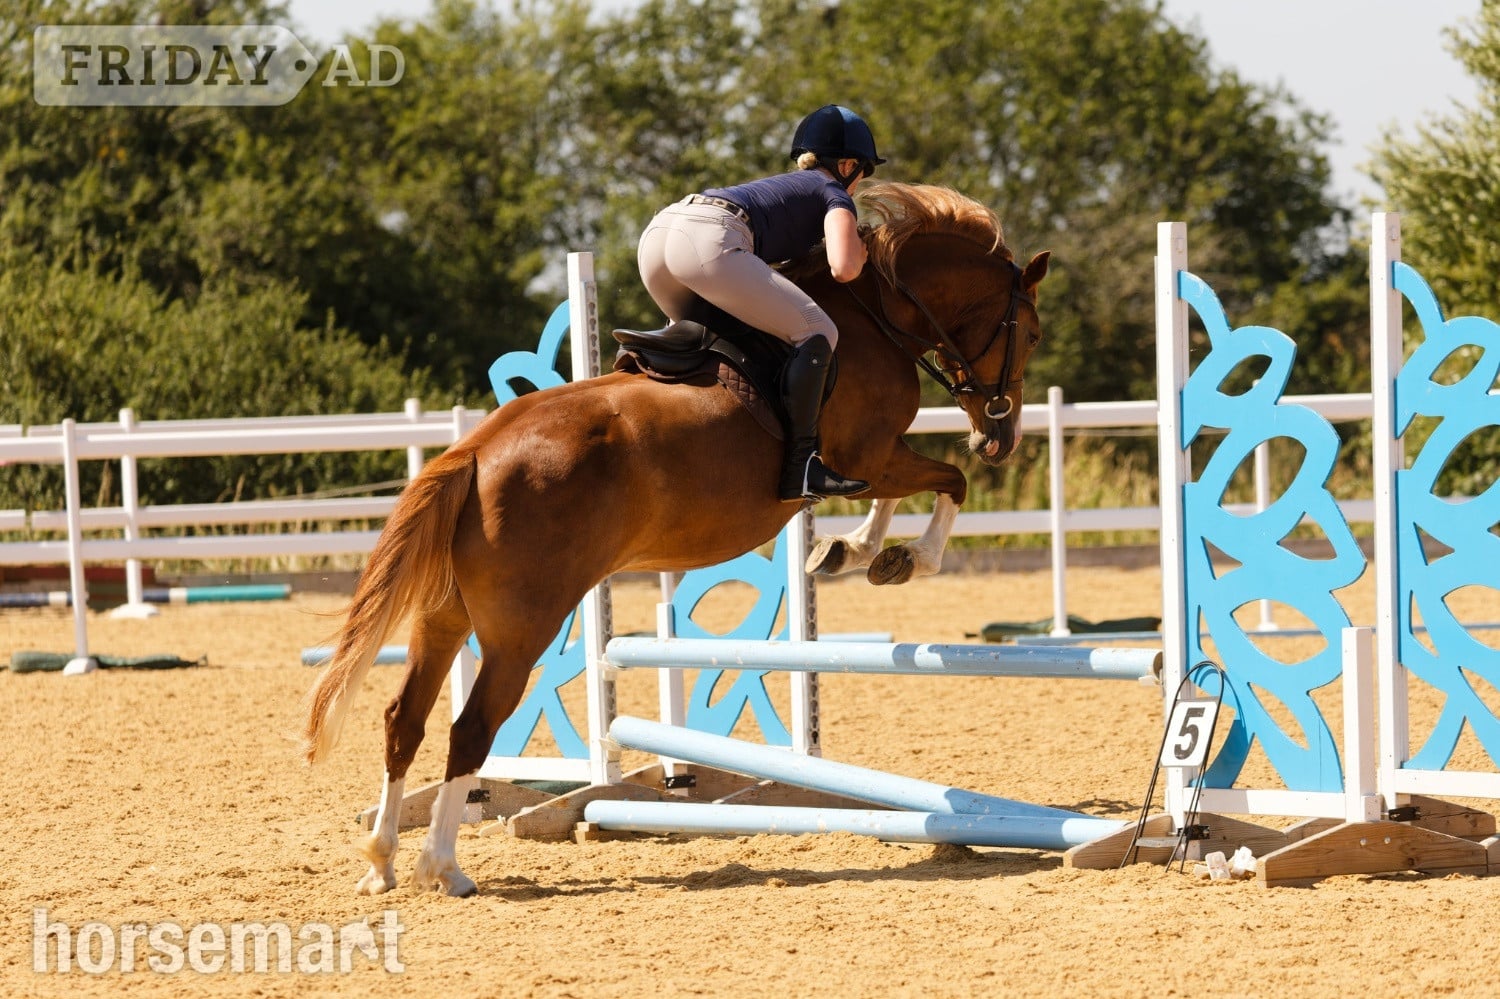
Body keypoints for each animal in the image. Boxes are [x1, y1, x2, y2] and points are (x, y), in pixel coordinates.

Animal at [302, 182, 1050, 896]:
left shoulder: (875, 458)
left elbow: (909, 490)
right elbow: (949, 482)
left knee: (405, 718)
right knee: (471, 729)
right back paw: (444, 867)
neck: (878, 313)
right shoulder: (867, 455)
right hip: (523, 626)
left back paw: (382, 860)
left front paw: (851, 550)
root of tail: (478, 451)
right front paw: (900, 557)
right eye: (1034, 333)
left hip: (445, 617)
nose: (1000, 436)